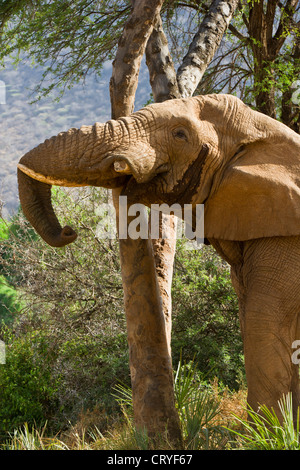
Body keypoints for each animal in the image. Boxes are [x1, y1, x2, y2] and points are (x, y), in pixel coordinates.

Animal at [18, 94, 300, 422]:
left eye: (180, 134)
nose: (68, 231)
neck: (262, 131)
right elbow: (251, 317)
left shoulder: (287, 239)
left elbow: (262, 320)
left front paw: (268, 431)